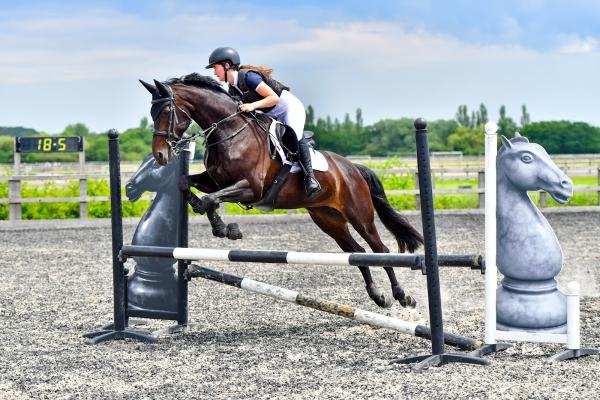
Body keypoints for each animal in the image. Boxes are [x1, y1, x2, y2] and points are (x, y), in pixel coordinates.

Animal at [139, 73, 424, 308]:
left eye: (166, 110)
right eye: (152, 112)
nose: (160, 155)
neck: (230, 132)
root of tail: (352, 167)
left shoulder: (250, 188)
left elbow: (210, 199)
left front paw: (225, 229)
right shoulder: (216, 180)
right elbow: (186, 184)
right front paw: (219, 222)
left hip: (359, 214)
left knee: (380, 250)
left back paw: (402, 296)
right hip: (328, 219)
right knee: (358, 253)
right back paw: (378, 296)